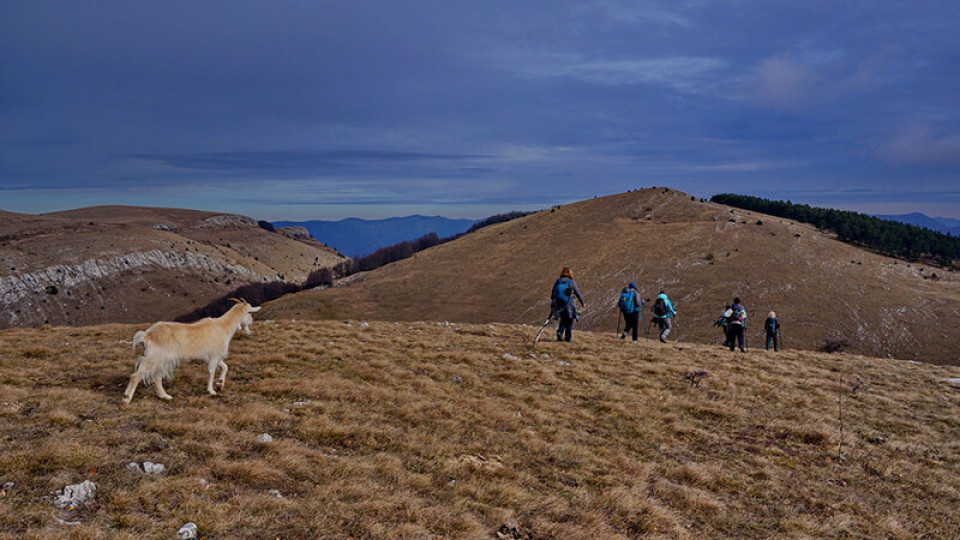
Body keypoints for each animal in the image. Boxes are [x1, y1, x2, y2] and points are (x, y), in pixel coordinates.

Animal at [122, 298, 260, 402]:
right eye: (249, 312)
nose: (251, 323)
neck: (223, 326)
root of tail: (147, 335)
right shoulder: (214, 356)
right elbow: (211, 372)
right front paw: (211, 391)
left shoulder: (213, 356)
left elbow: (225, 367)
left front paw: (220, 384)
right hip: (155, 358)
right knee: (136, 375)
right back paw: (127, 398)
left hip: (162, 360)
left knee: (157, 377)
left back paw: (165, 396)